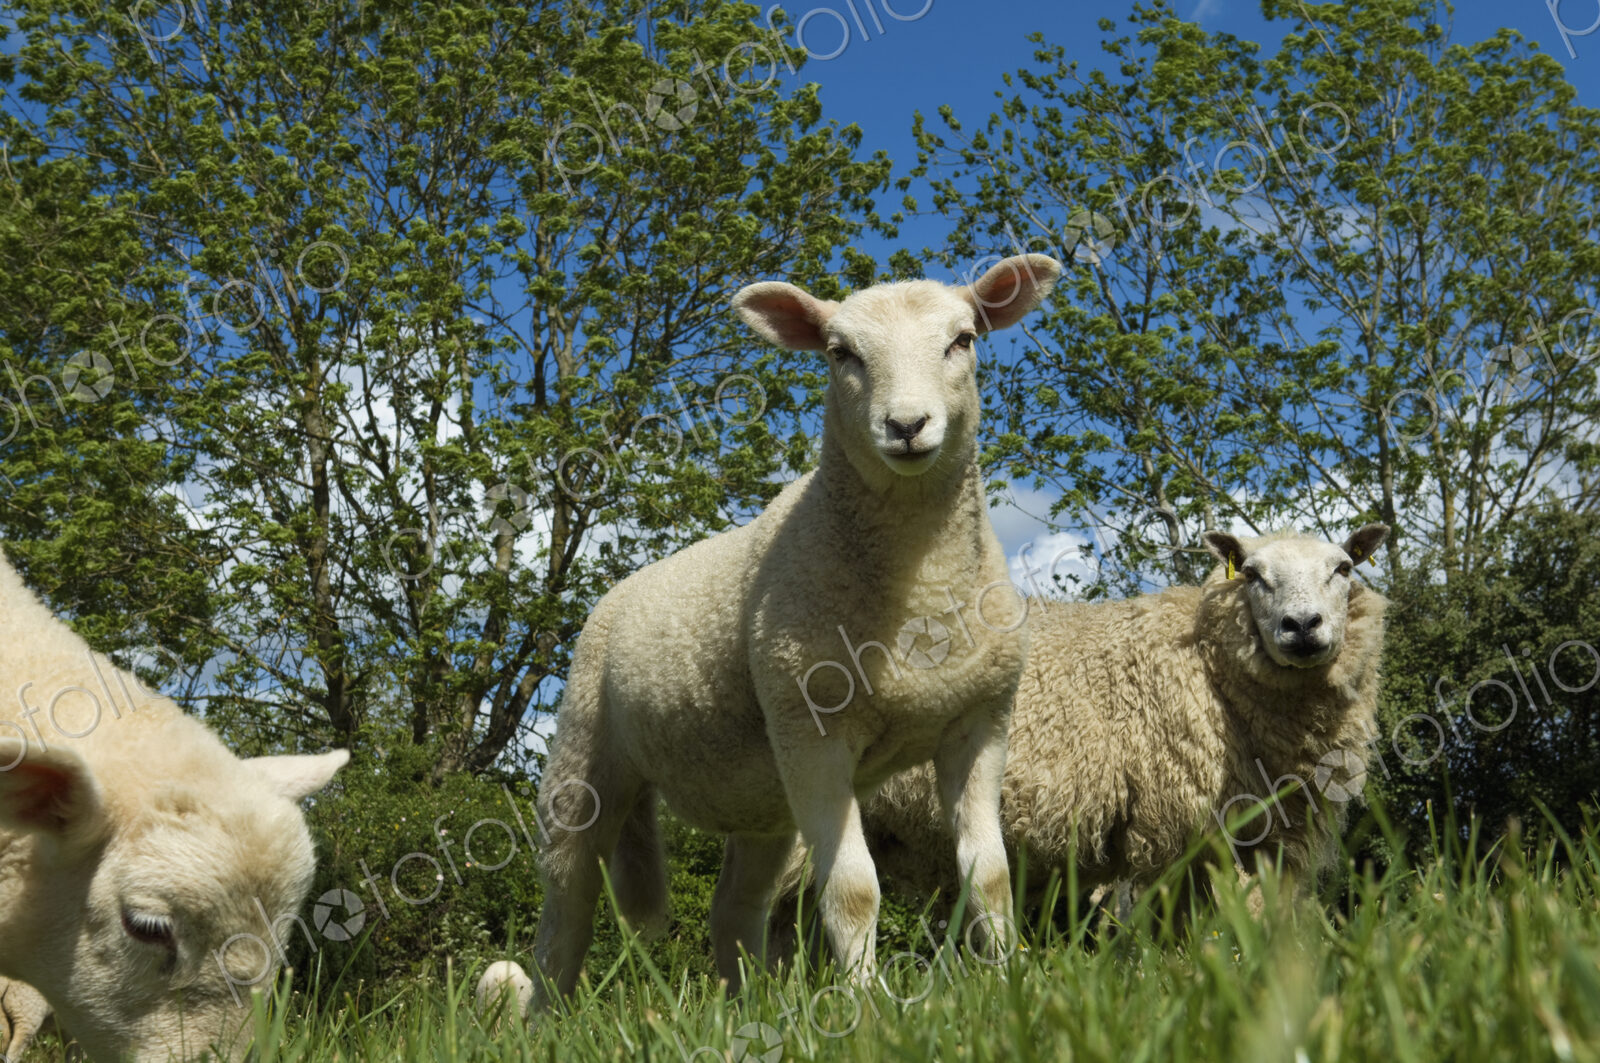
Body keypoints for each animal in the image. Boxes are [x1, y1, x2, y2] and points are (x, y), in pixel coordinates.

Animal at [483, 255, 1061, 1014]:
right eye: (840, 353)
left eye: (963, 340)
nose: (906, 425)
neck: (921, 588)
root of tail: (619, 591)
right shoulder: (811, 729)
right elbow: (852, 891)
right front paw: (868, 1006)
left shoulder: (979, 722)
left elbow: (989, 876)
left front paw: (1009, 987)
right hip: (586, 750)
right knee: (568, 899)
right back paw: (548, 1013)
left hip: (762, 798)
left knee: (733, 905)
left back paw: (746, 1009)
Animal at [858, 524, 1391, 912]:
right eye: (1252, 574)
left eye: (1343, 567)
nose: (1302, 626)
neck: (1206, 662)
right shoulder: (1181, 824)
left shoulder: (1266, 836)